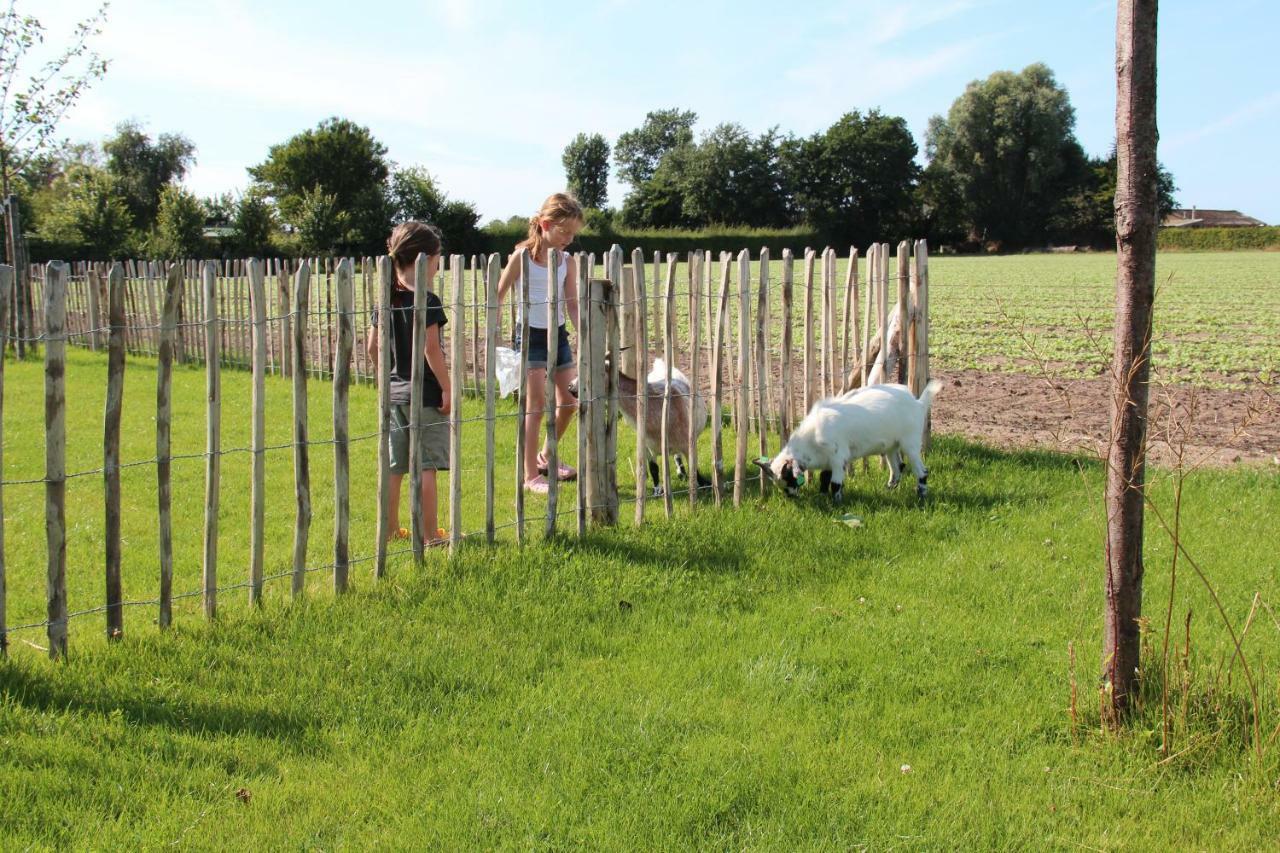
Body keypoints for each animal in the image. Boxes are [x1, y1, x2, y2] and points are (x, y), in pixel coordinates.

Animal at [752, 379, 947, 499]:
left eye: (789, 479)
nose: (791, 496)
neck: (811, 439)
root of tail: (919, 403)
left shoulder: (838, 457)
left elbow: (835, 483)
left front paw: (836, 503)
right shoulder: (828, 460)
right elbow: (824, 478)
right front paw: (823, 496)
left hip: (910, 443)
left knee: (922, 471)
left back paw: (921, 495)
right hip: (892, 445)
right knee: (898, 467)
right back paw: (889, 489)